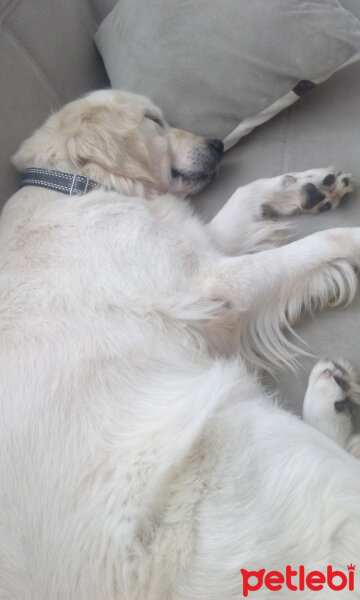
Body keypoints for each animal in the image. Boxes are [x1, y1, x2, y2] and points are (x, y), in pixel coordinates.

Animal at [0, 90, 360, 600]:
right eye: (153, 120)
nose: (217, 143)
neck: (74, 183)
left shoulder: (202, 249)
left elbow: (243, 194)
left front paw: (308, 186)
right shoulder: (211, 287)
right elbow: (319, 242)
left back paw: (333, 396)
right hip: (246, 437)